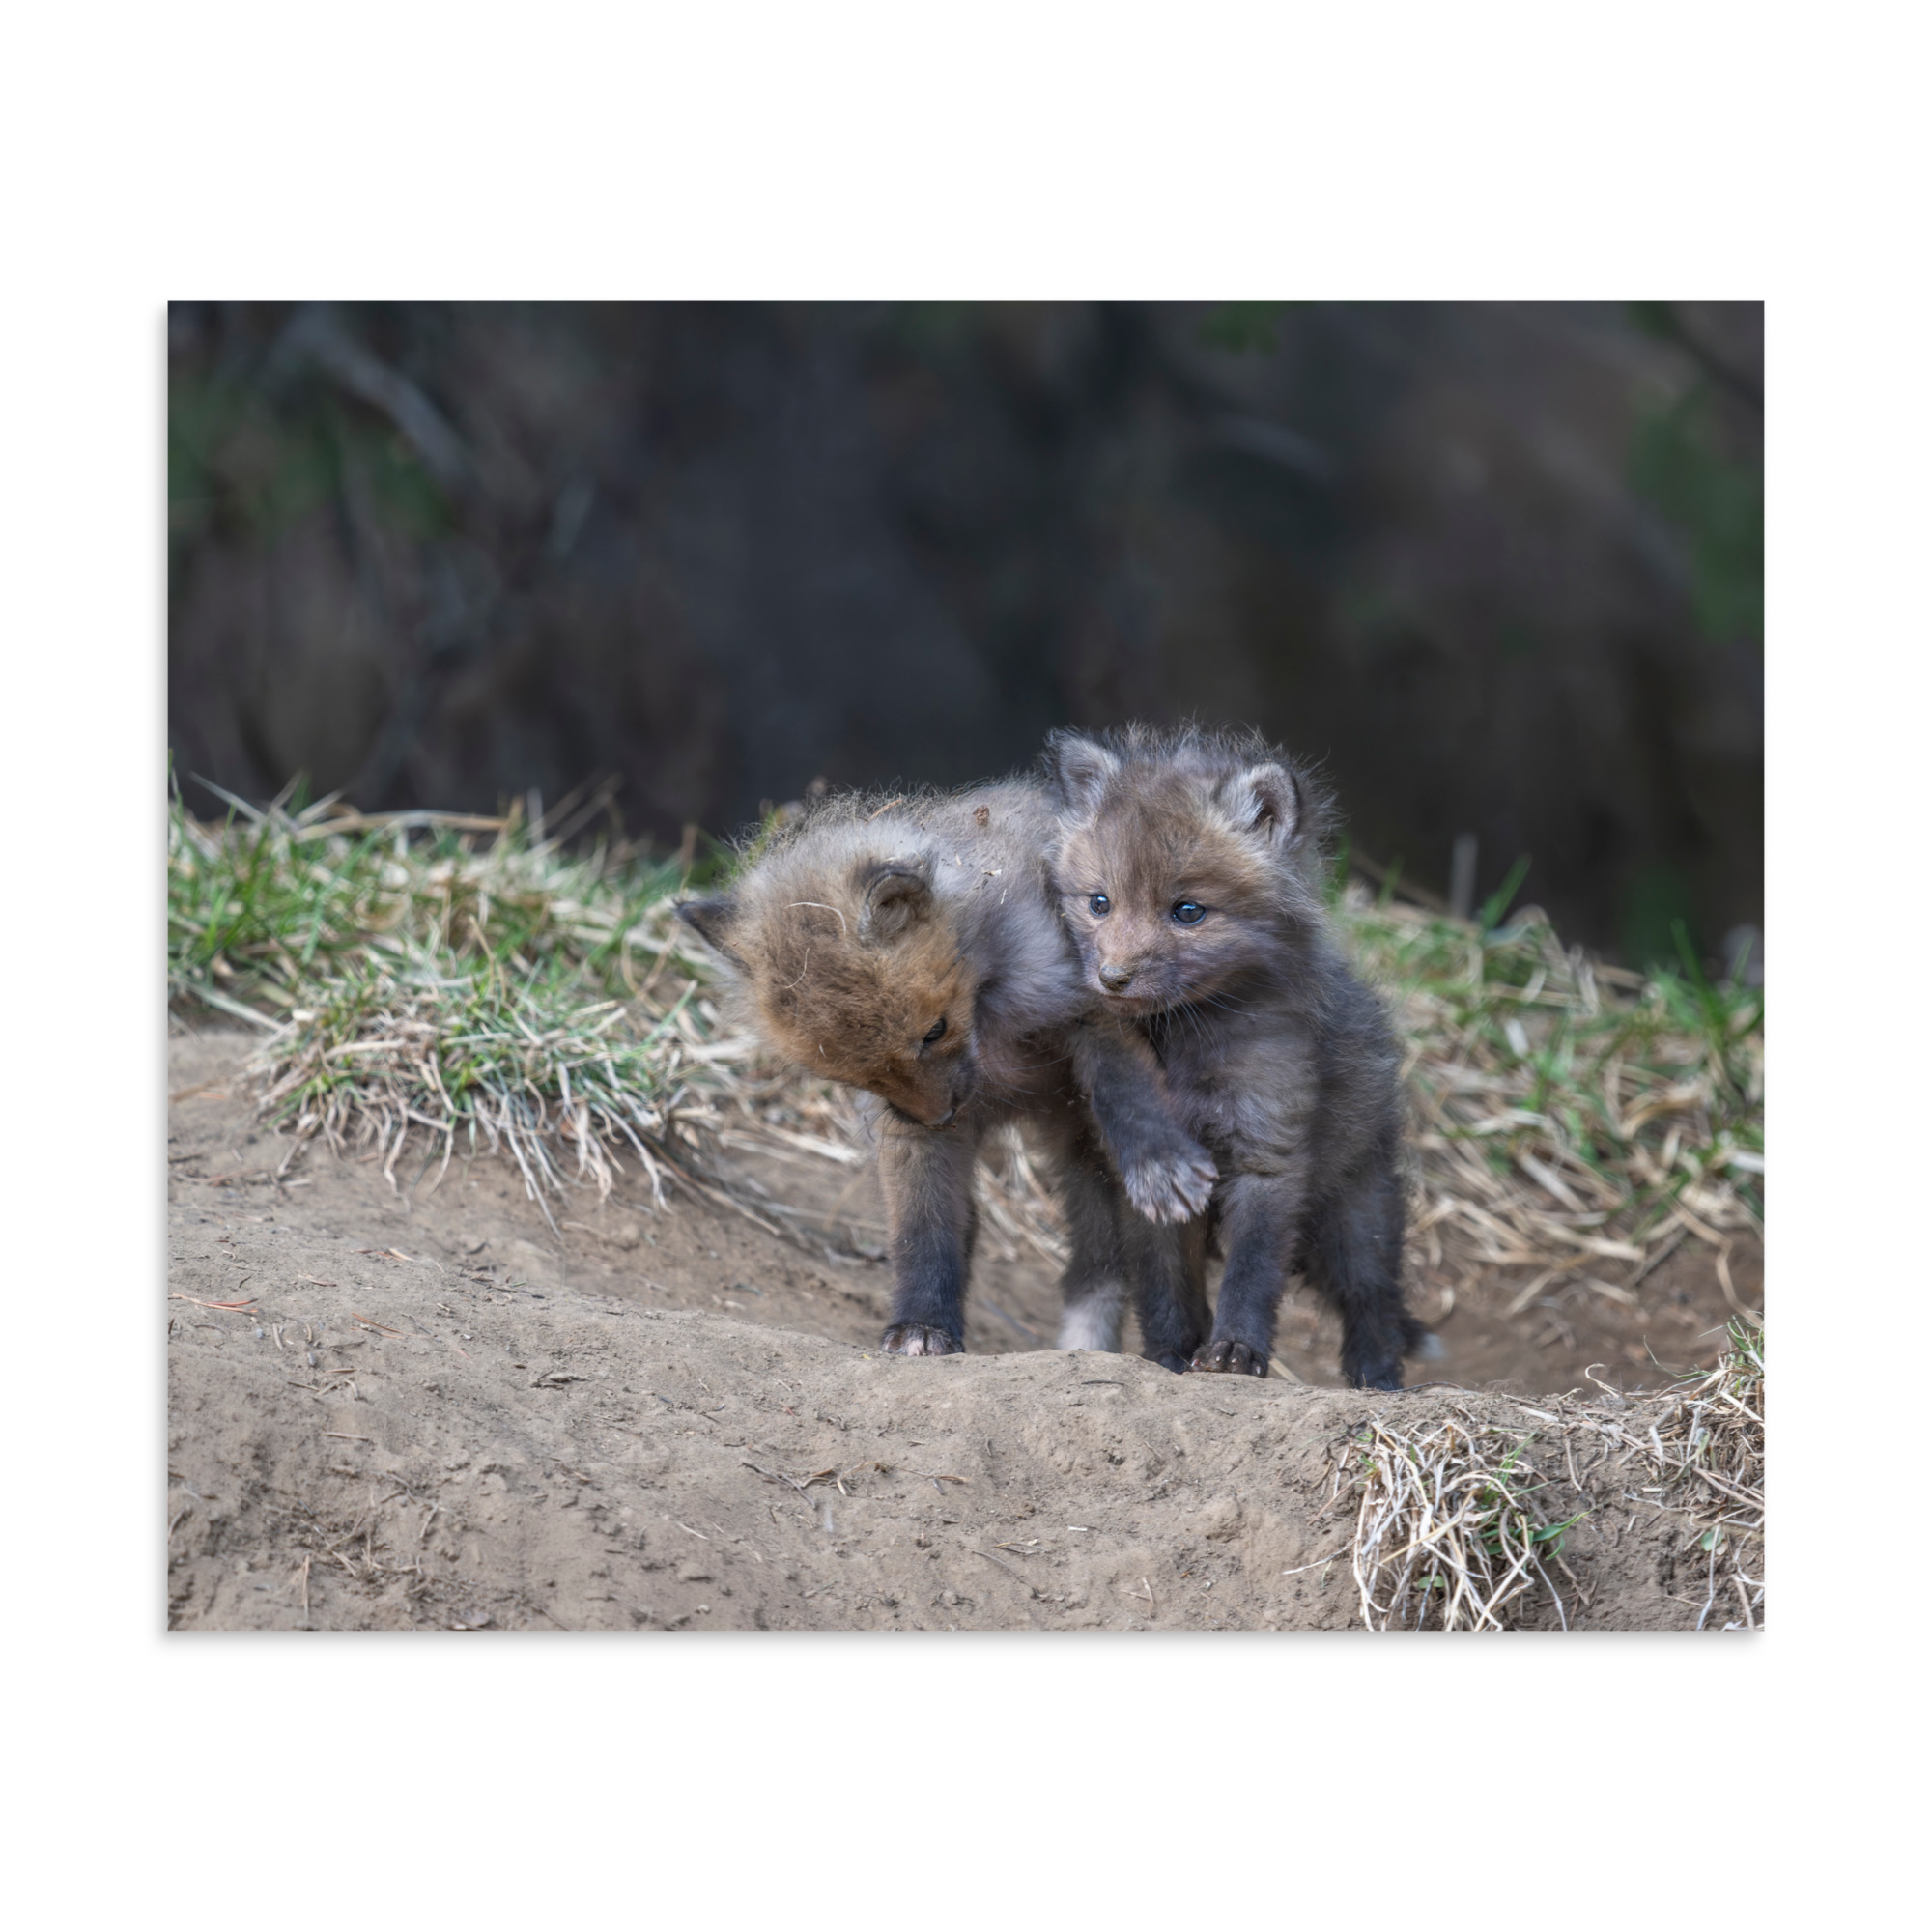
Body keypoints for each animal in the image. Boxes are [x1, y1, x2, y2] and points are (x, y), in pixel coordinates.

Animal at [675, 779, 1218, 1367]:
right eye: (855, 1075)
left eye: (934, 1031)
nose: (940, 1116)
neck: (991, 1022)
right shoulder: (905, 1128)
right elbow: (923, 1230)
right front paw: (923, 1326)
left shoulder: (1093, 1006)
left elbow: (1126, 1092)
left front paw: (1158, 1162)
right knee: (1095, 1265)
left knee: (1155, 1266)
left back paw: (1174, 1353)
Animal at [1043, 724, 1424, 1389]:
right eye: (1099, 903)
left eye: (1188, 911)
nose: (1112, 978)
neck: (1185, 1047)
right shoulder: (1150, 1178)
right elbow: (1165, 1285)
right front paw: (1169, 1356)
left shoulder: (1267, 1153)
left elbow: (1251, 1273)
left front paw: (1234, 1353)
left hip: (1357, 1215)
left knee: (1373, 1302)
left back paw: (1378, 1383)